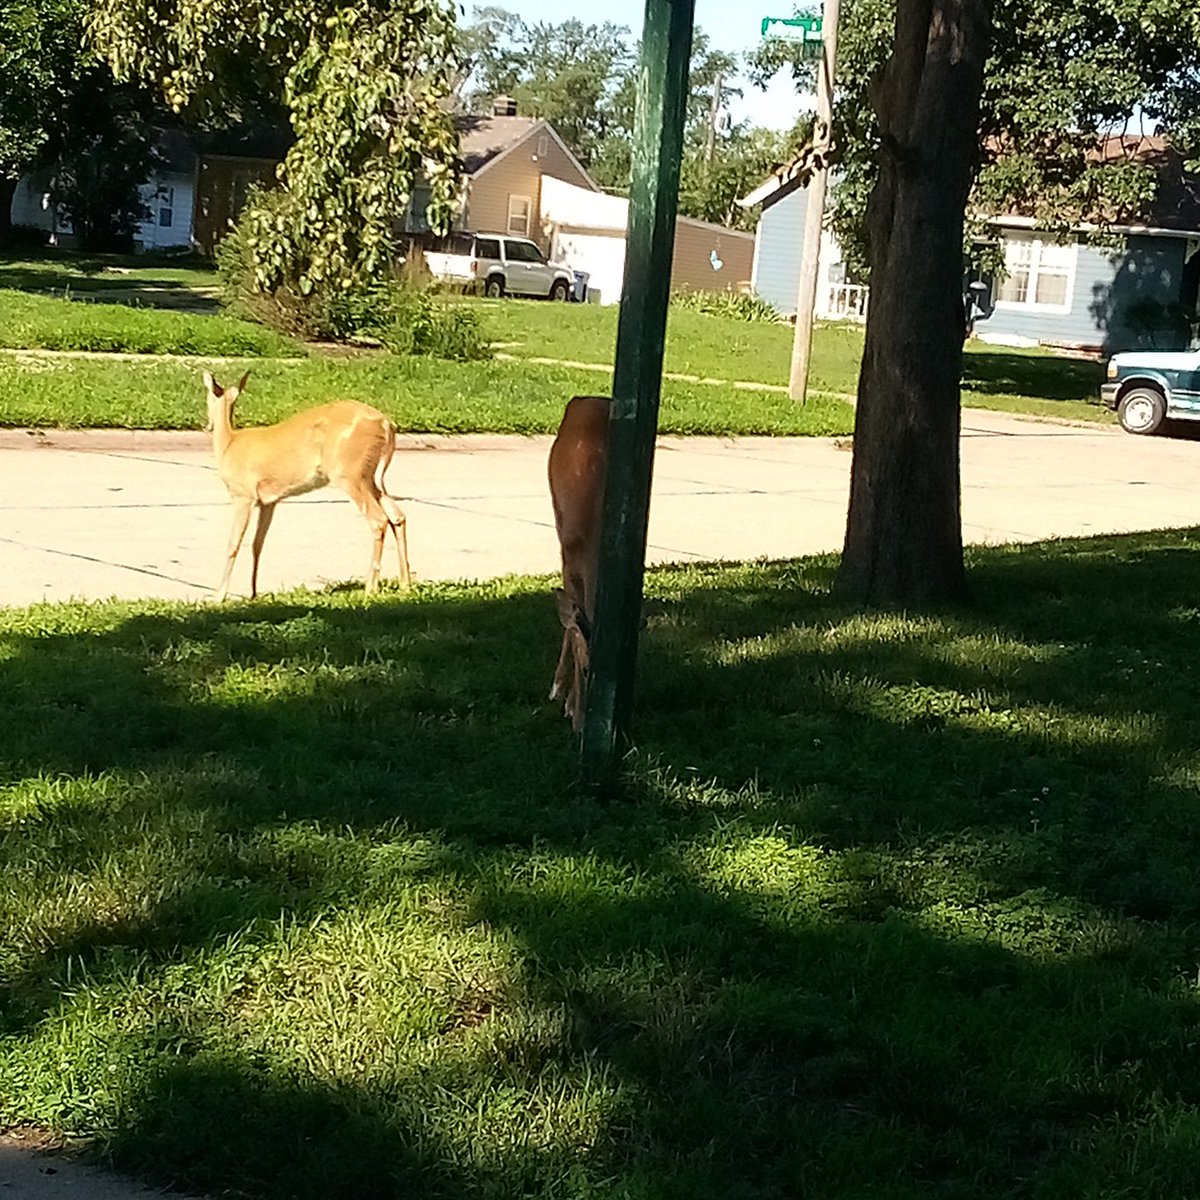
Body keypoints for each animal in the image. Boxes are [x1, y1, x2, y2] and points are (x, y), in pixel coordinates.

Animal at [203, 371, 411, 602]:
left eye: (206, 398)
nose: (208, 425)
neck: (229, 444)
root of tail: (385, 424)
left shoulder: (242, 495)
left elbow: (233, 543)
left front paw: (219, 596)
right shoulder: (269, 501)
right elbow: (258, 544)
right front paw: (254, 593)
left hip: (350, 474)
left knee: (378, 519)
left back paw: (370, 588)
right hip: (372, 477)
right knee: (397, 516)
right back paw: (405, 585)